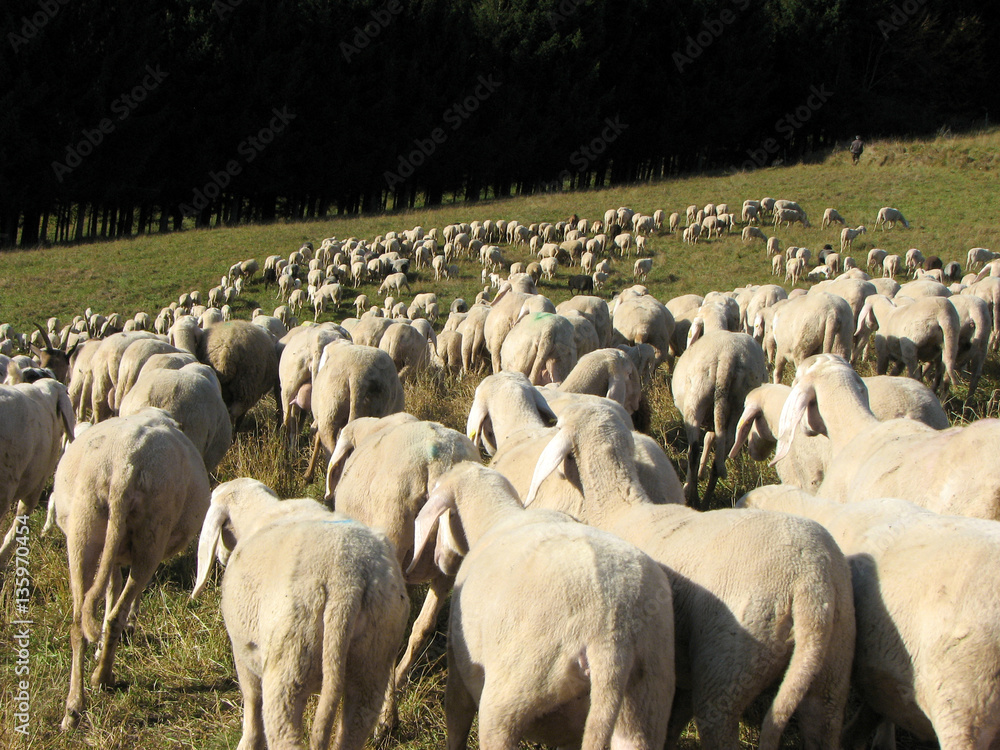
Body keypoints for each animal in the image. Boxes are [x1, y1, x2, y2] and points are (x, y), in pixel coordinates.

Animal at [56, 409, 211, 729]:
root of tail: (123, 466)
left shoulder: (112, 555)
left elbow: (109, 590)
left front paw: (100, 646)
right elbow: (121, 599)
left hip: (83, 527)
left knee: (78, 623)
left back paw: (74, 708)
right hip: (151, 535)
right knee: (117, 614)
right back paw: (102, 678)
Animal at [191, 478, 409, 750]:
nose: (221, 557)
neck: (259, 512)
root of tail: (346, 582)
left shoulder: (243, 654)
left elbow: (252, 704)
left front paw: (248, 742)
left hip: (289, 662)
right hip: (372, 660)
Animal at [408, 462, 676, 750]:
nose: (440, 563)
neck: (497, 517)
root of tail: (613, 640)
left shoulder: (459, 667)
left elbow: (456, 723)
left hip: (510, 696)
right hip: (646, 703)